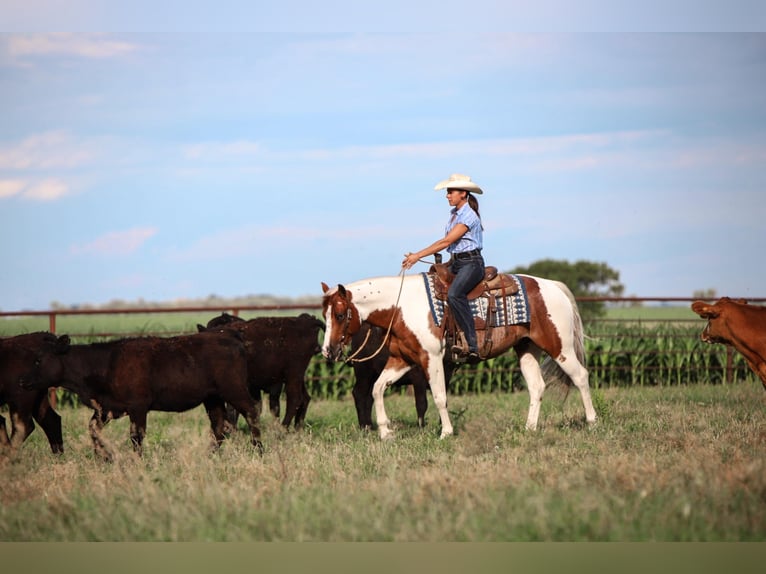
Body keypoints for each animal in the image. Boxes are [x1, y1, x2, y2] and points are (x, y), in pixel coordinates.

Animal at [21, 330, 262, 462]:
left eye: (38, 360)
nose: (22, 381)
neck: (106, 363)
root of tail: (230, 335)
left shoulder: (138, 406)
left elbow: (136, 436)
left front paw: (137, 461)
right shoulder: (107, 408)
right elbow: (93, 429)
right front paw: (103, 457)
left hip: (234, 389)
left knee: (251, 412)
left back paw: (258, 450)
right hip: (212, 397)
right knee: (220, 425)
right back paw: (208, 456)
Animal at [320, 274, 596, 440]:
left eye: (341, 315)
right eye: (325, 315)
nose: (328, 351)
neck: (401, 308)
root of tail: (554, 287)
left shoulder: (431, 359)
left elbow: (439, 397)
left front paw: (446, 432)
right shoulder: (401, 361)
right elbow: (378, 389)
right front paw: (386, 432)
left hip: (560, 347)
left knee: (581, 376)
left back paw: (593, 421)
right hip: (527, 349)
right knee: (537, 386)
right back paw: (530, 429)